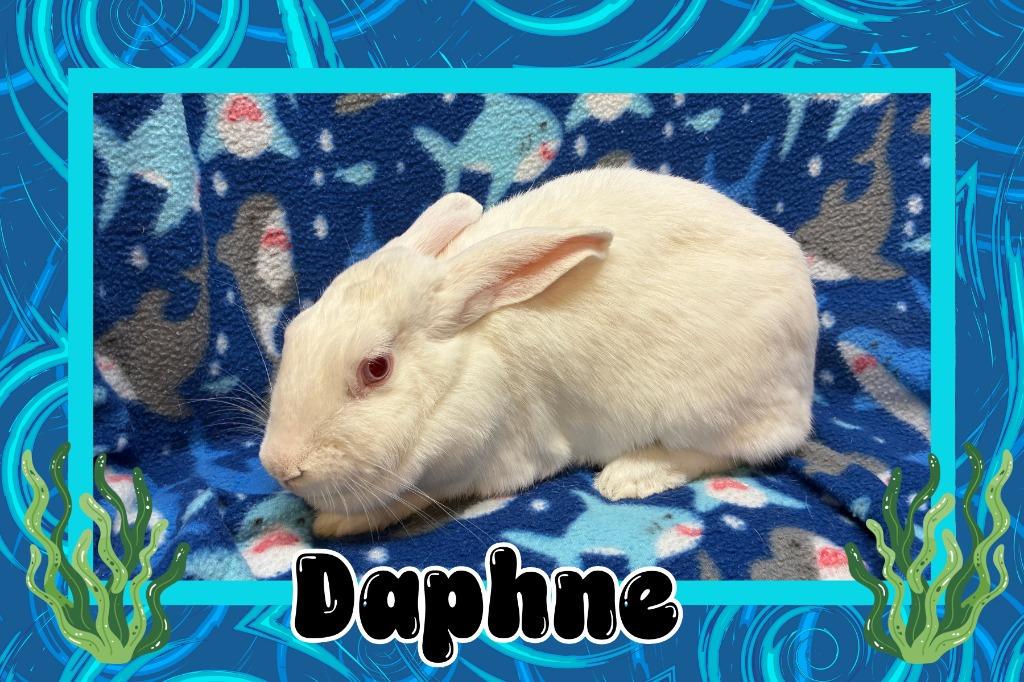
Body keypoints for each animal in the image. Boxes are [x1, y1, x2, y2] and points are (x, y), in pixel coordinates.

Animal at [259, 167, 818, 537]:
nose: (279, 466)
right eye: (295, 331)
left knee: (741, 447)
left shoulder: (492, 463)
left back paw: (629, 477)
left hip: (709, 408)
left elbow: (410, 499)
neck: (465, 365)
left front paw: (333, 522)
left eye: (376, 368)